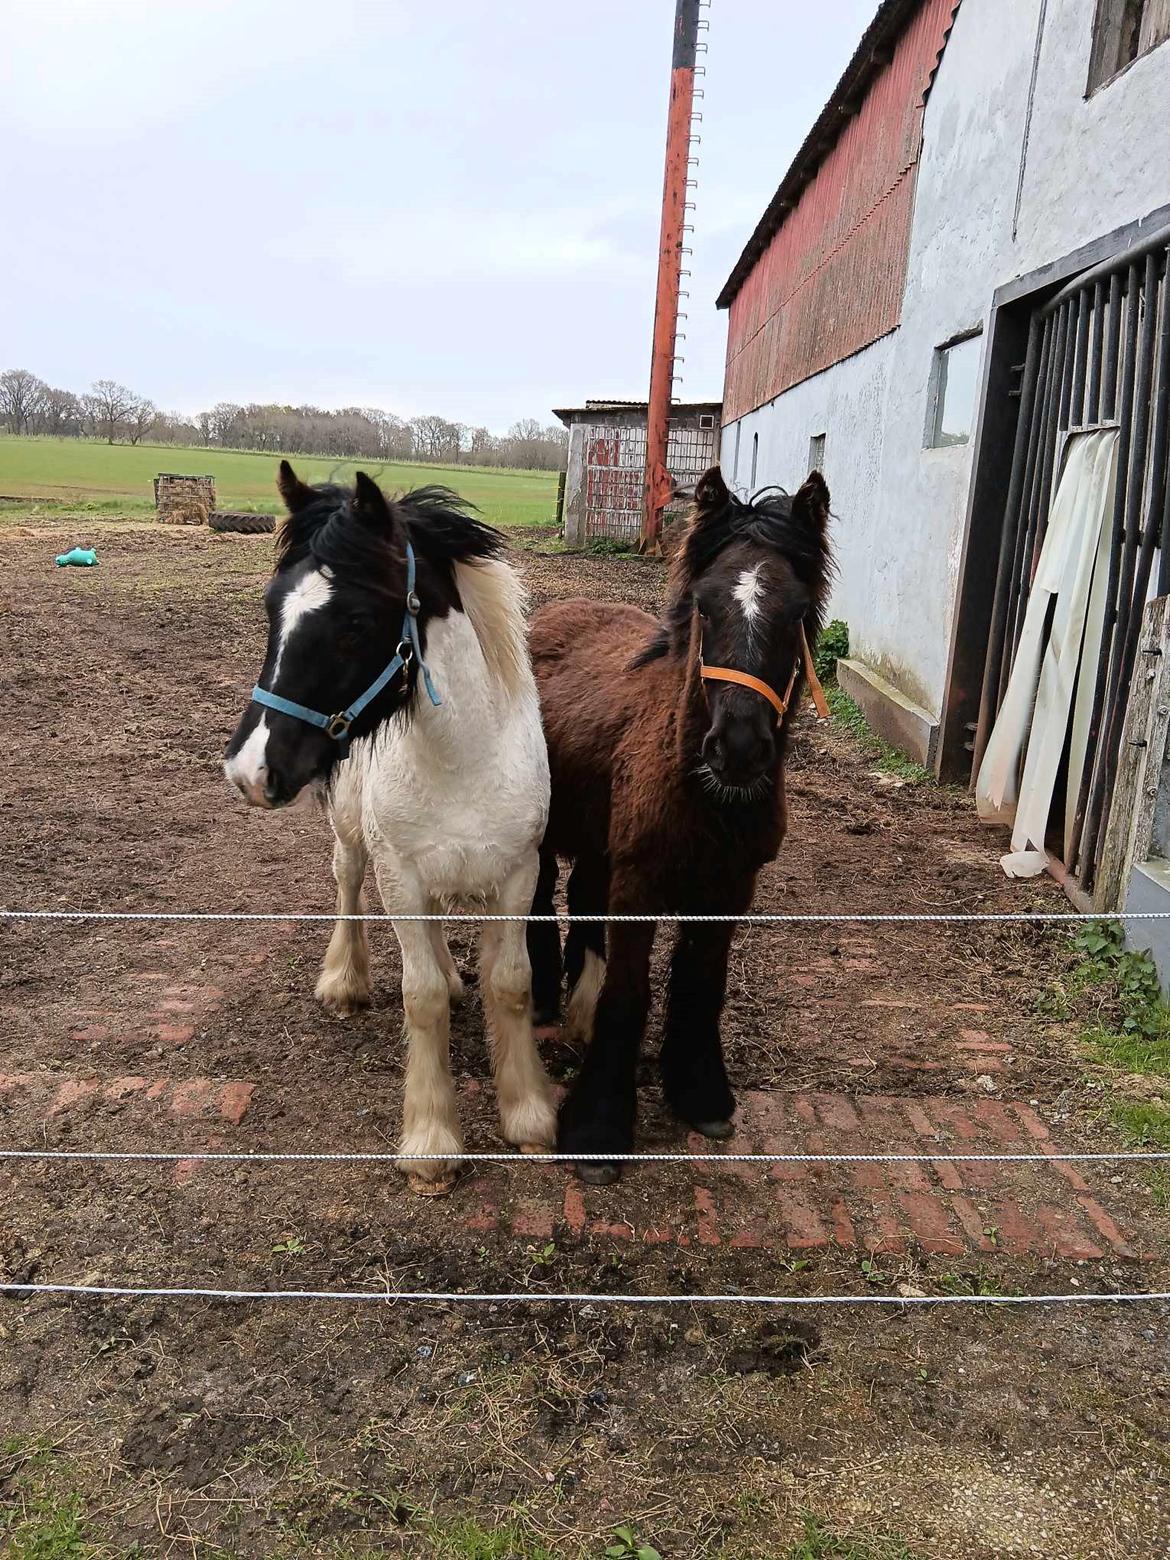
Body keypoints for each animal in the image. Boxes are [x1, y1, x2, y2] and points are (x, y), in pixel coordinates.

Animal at [230, 464, 564, 1191]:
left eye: (354, 623)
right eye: (272, 610)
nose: (250, 771)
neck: (465, 757)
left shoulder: (519, 873)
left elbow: (511, 982)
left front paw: (528, 1114)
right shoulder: (399, 876)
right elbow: (423, 996)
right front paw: (432, 1140)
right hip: (356, 840)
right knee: (346, 883)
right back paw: (344, 981)